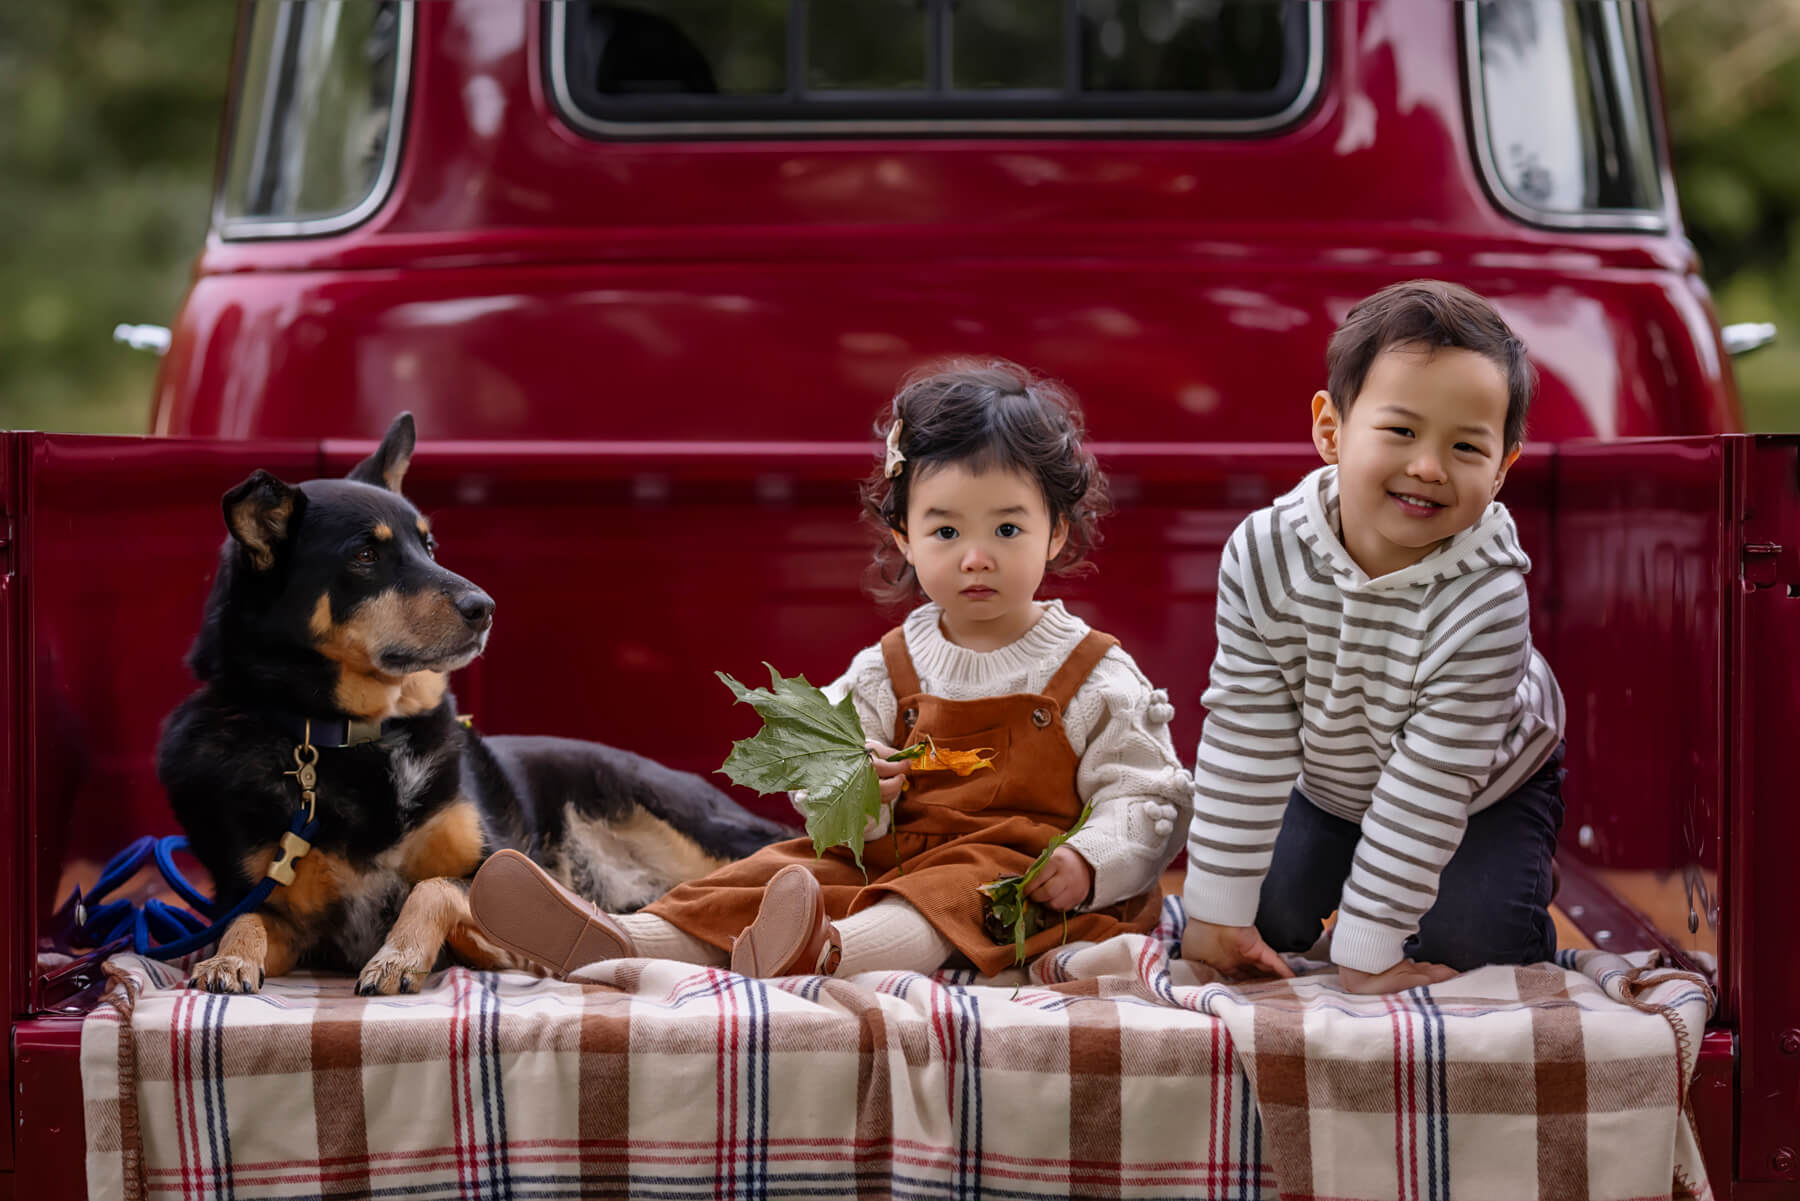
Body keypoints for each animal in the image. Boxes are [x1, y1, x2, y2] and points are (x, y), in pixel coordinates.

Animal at [162, 414, 788, 993]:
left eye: (428, 545)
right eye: (364, 555)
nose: (484, 607)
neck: (355, 735)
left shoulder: (495, 861)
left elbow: (434, 886)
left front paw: (400, 956)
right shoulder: (271, 904)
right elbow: (242, 923)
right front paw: (227, 961)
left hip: (693, 829)